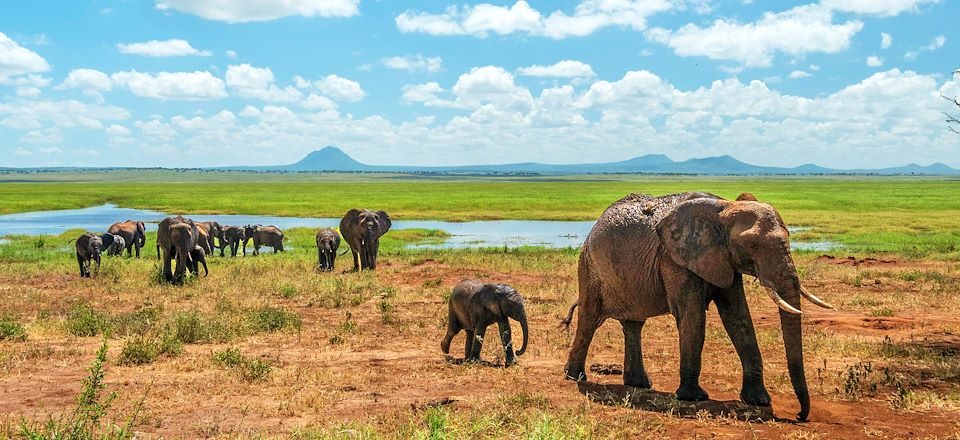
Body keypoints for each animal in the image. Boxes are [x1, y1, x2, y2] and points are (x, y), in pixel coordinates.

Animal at [564, 192, 832, 420]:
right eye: (753, 245)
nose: (800, 415)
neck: (723, 209)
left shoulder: (724, 259)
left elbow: (739, 318)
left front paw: (759, 401)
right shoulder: (675, 260)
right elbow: (692, 317)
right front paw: (693, 397)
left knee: (633, 325)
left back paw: (638, 384)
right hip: (589, 268)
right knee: (589, 319)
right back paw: (575, 376)